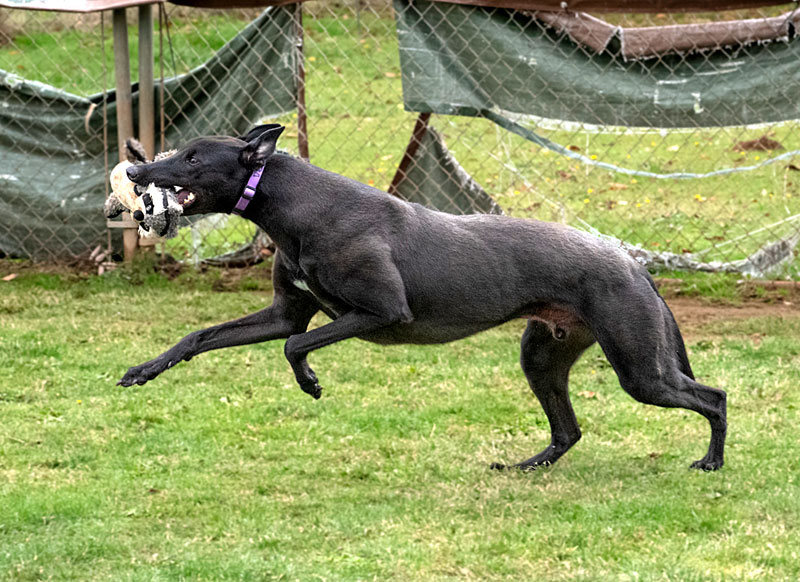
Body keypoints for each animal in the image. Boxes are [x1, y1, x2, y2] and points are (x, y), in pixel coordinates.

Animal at [119, 124, 724, 474]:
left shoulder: (380, 311)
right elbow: (202, 335)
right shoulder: (284, 311)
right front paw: (142, 371)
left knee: (713, 397)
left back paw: (711, 462)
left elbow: (295, 346)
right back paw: (528, 466)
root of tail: (632, 264)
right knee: (568, 430)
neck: (296, 203)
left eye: (193, 158)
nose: (134, 168)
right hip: (544, 355)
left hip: (638, 366)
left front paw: (310, 383)